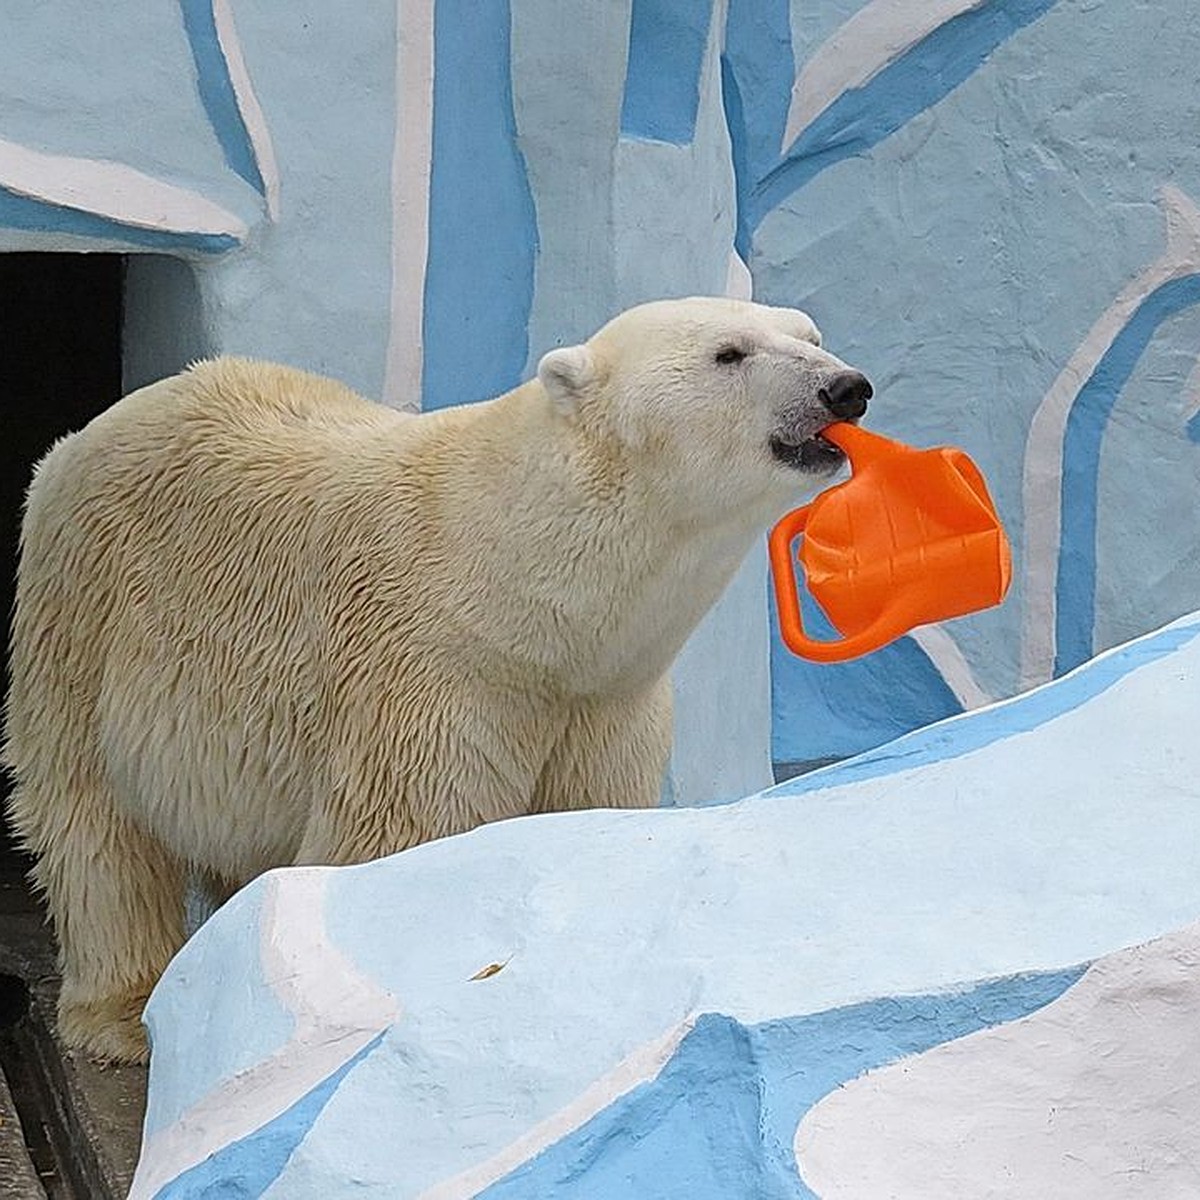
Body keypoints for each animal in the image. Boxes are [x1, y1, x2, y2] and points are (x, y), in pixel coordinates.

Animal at [2, 297, 873, 1060]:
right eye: (730, 352)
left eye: (809, 334)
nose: (846, 387)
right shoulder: (429, 675)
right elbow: (402, 836)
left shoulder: (603, 699)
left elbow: (587, 808)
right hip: (84, 613)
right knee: (95, 821)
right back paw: (122, 1013)